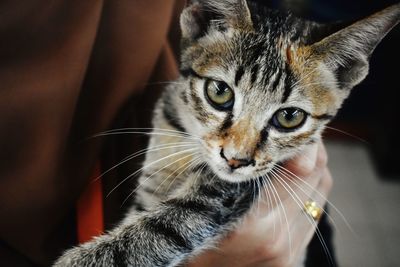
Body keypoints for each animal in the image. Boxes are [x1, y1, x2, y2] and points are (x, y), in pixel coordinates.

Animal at [55, 1, 400, 266]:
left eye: (290, 117)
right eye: (219, 92)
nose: (236, 160)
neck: (186, 135)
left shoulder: (228, 193)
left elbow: (163, 228)